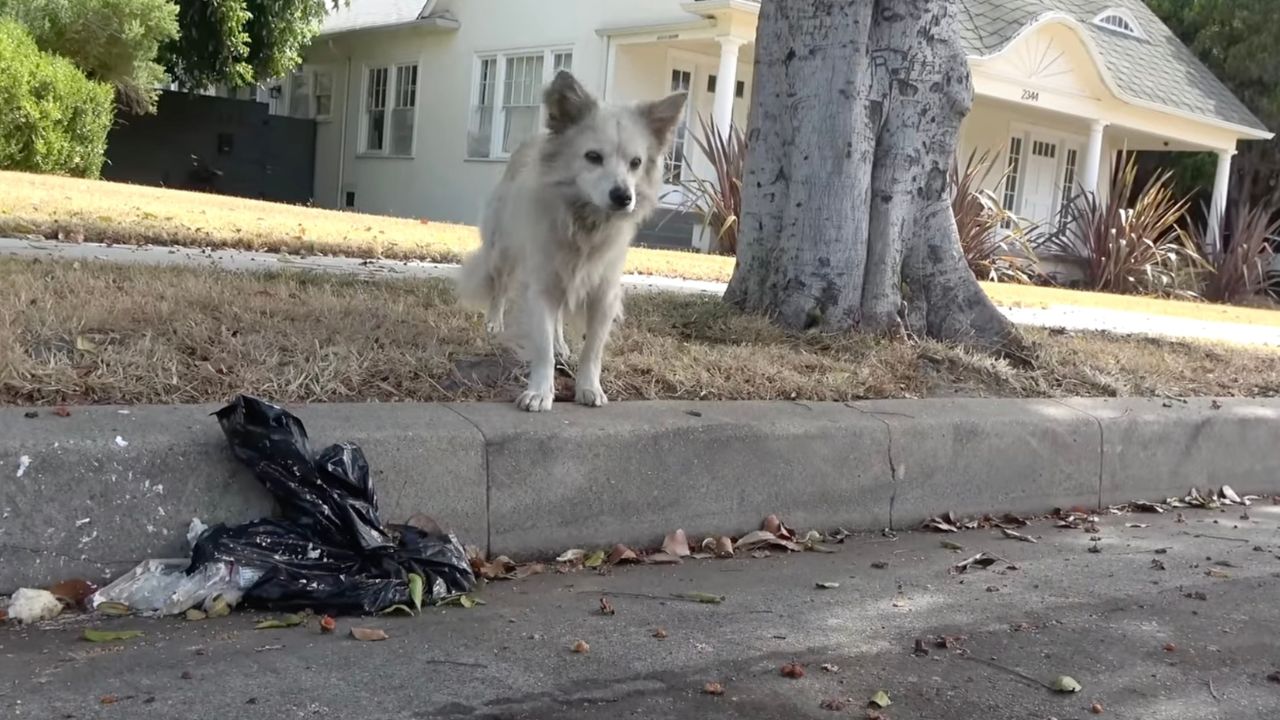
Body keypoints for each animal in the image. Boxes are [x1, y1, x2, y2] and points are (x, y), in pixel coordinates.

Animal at [455, 71, 686, 415]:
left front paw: (588, 387)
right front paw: (540, 391)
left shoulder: (604, 295)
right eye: (593, 157)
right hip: (504, 253)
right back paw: (494, 324)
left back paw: (561, 343)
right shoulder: (541, 287)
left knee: (559, 316)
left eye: (635, 163)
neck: (584, 222)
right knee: (500, 288)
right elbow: (542, 349)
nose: (623, 197)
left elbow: (592, 351)